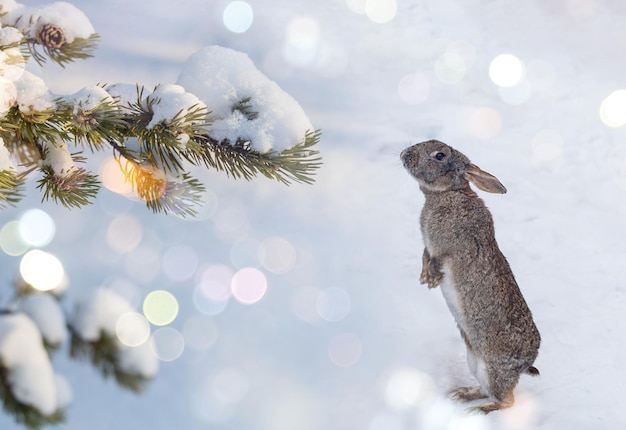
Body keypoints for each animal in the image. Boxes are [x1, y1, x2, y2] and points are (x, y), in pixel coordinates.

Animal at [402, 139, 540, 414]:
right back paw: (461, 394)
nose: (405, 153)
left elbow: (440, 260)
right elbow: (425, 255)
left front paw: (433, 279)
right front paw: (425, 277)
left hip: (494, 369)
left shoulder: (456, 248)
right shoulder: (429, 245)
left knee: (507, 401)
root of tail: (526, 363)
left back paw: (477, 410)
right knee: (488, 390)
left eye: (440, 155)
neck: (447, 194)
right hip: (475, 362)